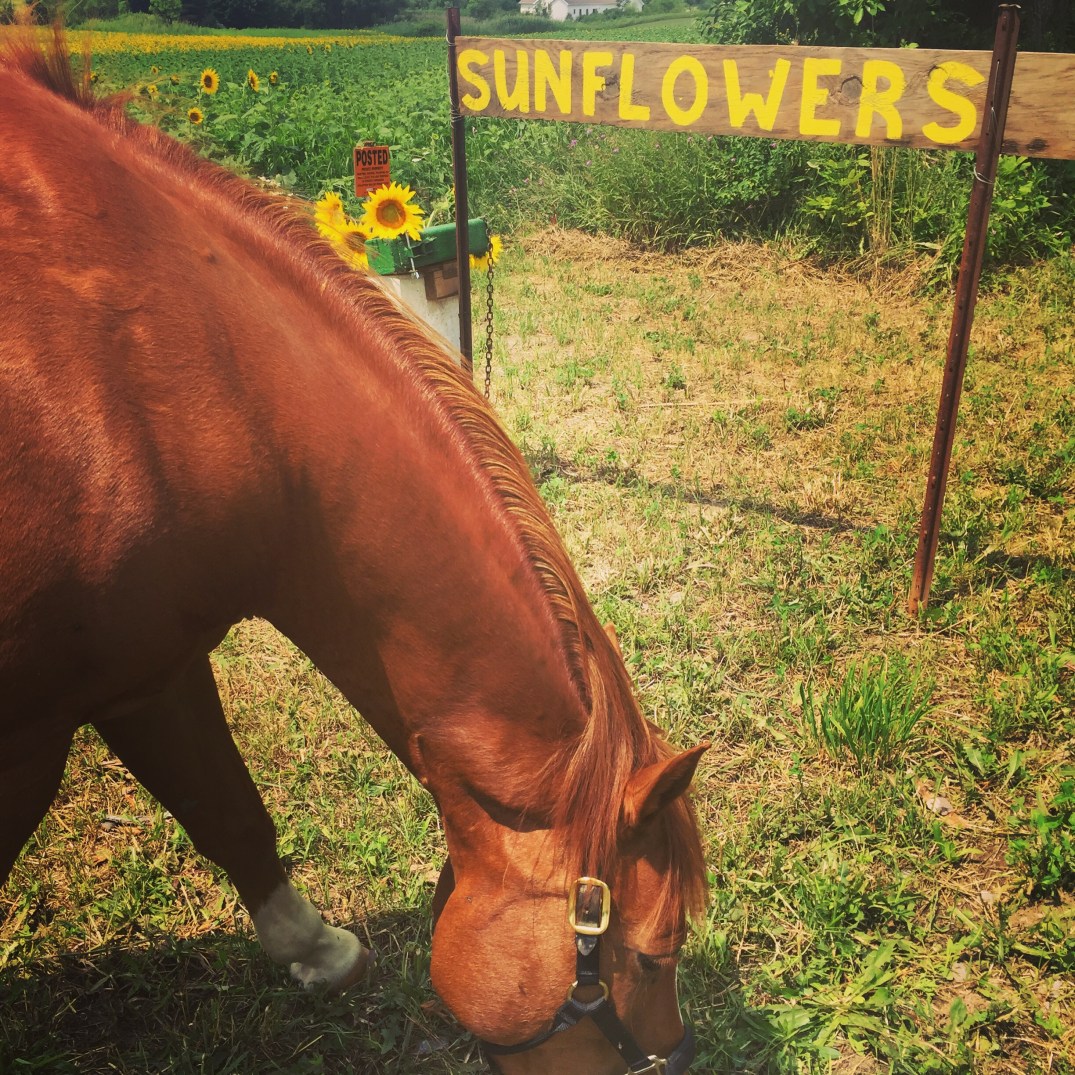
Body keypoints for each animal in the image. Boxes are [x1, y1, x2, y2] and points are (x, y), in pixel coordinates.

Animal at [0, 26, 708, 1073]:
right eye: (652, 955)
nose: (676, 1054)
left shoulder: (144, 668)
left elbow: (228, 809)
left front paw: (318, 950)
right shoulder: (31, 731)